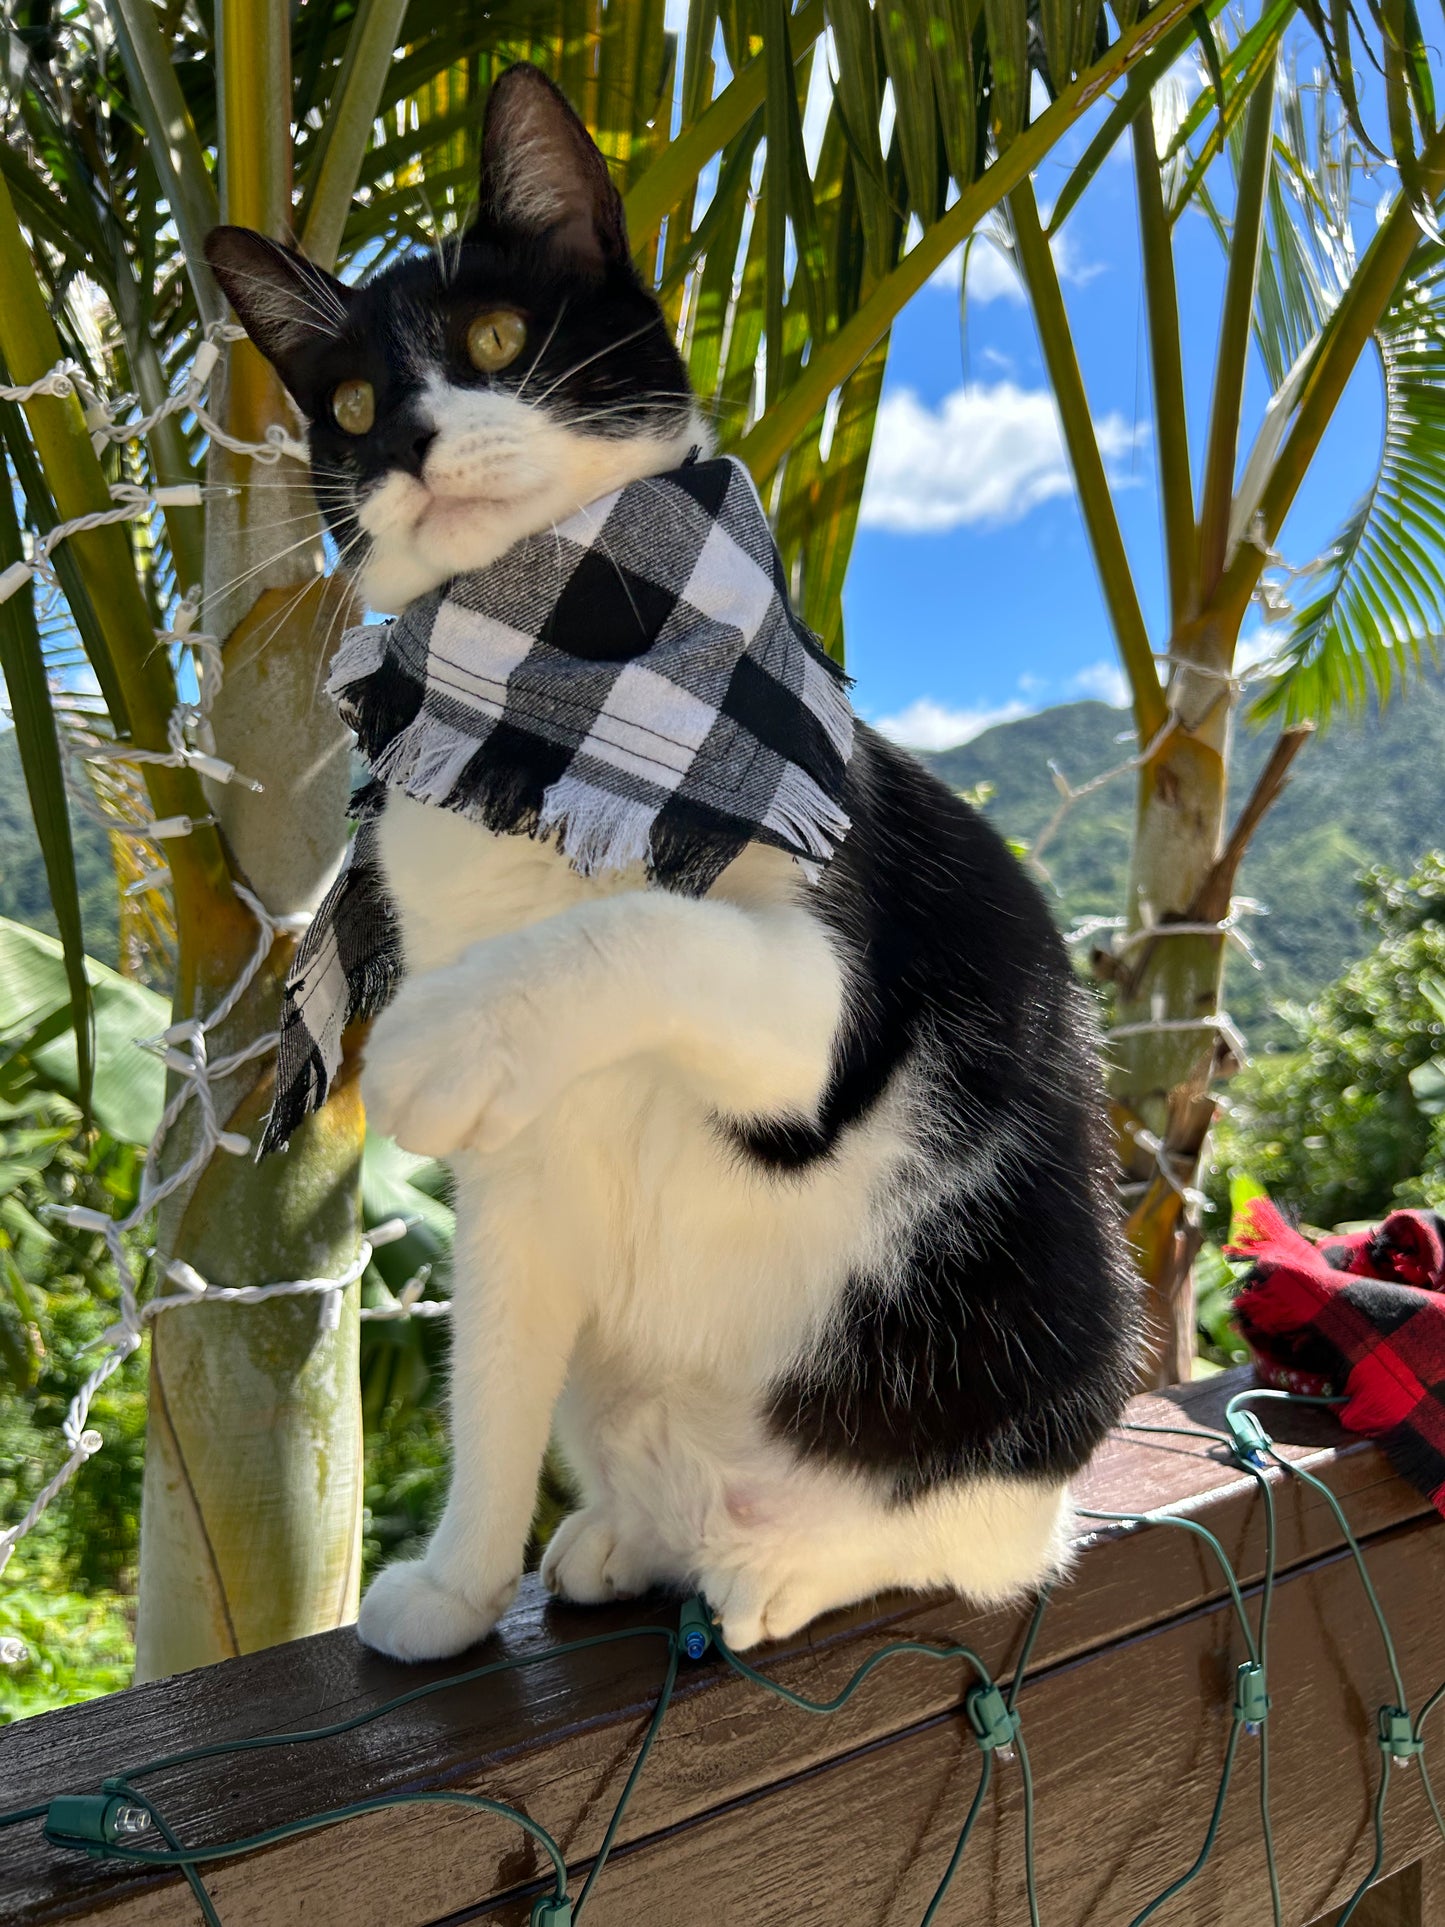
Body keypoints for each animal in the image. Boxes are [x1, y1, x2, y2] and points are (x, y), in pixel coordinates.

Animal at [206, 60, 1140, 1657]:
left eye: (497, 338)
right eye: (350, 402)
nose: (408, 445)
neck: (556, 707)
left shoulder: (819, 1008)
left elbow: (649, 928)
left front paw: (446, 1033)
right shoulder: (515, 1195)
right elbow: (489, 1392)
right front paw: (457, 1587)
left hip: (1033, 1340)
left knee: (981, 1533)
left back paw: (785, 1560)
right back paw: (626, 1538)